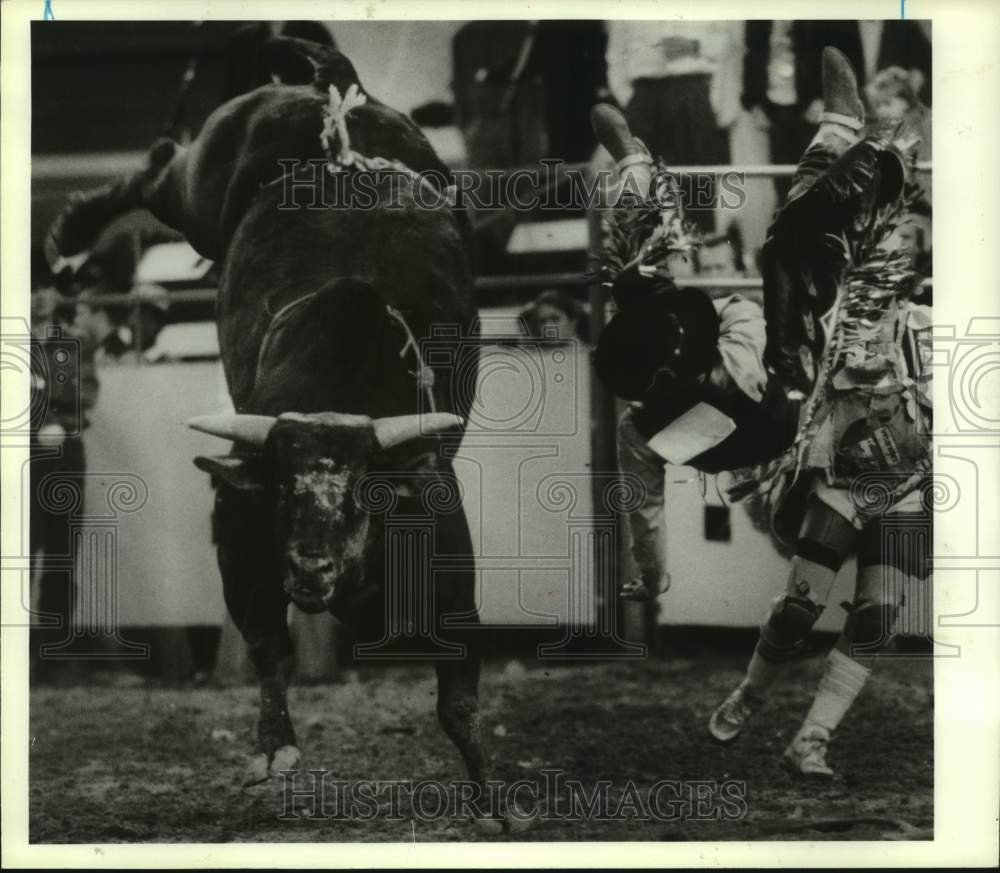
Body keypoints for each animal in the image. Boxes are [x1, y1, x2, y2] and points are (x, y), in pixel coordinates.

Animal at [46, 36, 512, 829]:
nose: (312, 567)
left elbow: (459, 697)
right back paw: (69, 232)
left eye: (365, 497)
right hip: (201, 189)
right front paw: (274, 747)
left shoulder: (445, 553)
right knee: (156, 166)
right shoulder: (239, 531)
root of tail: (333, 88)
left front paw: (488, 795)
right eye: (286, 494)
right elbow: (268, 644)